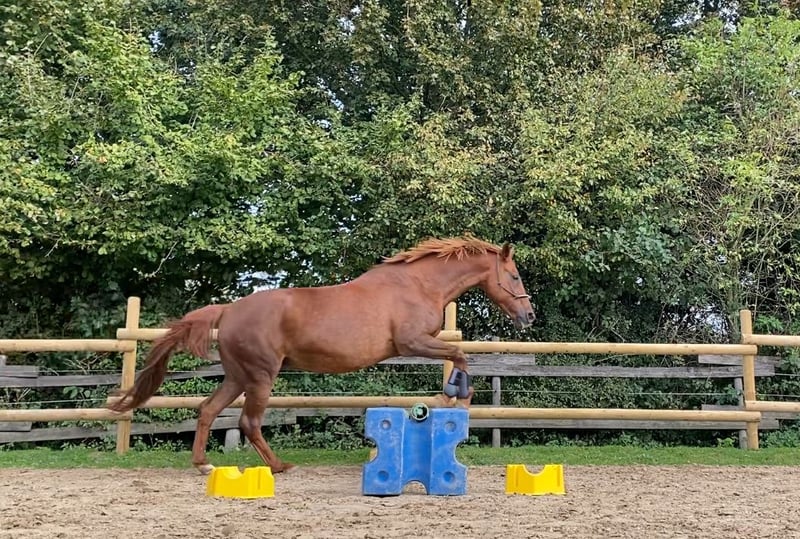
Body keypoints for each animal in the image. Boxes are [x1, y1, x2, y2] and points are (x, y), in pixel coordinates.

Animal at [107, 236, 535, 474]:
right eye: (514, 276)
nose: (528, 315)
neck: (417, 283)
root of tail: (229, 310)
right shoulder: (412, 343)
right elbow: (460, 355)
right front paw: (454, 395)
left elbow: (459, 354)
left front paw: (450, 397)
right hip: (260, 377)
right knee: (248, 422)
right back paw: (279, 466)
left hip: (237, 376)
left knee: (209, 410)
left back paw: (203, 464)